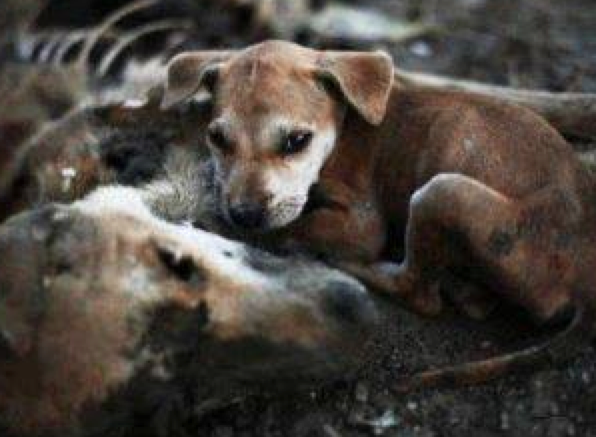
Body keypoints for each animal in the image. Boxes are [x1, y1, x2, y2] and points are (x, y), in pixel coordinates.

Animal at [161, 41, 596, 386]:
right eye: (217, 138)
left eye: (297, 141)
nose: (245, 214)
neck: (344, 126)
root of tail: (585, 284)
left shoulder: (360, 223)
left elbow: (293, 224)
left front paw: (218, 223)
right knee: (468, 299)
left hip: (439, 193)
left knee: (420, 293)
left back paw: (357, 268)